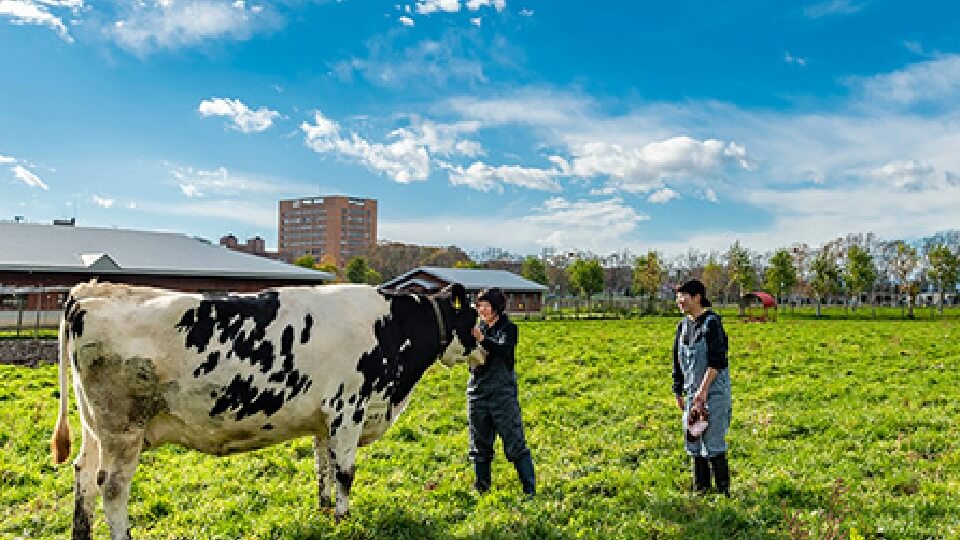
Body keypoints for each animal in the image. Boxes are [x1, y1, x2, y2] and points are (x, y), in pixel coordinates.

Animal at [52, 282, 480, 540]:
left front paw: (324, 511)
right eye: (476, 319)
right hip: (123, 428)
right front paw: (343, 519)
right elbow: (345, 472)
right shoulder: (348, 410)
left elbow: (323, 466)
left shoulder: (324, 420)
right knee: (112, 487)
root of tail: (94, 290)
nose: (489, 349)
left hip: (96, 429)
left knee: (84, 475)